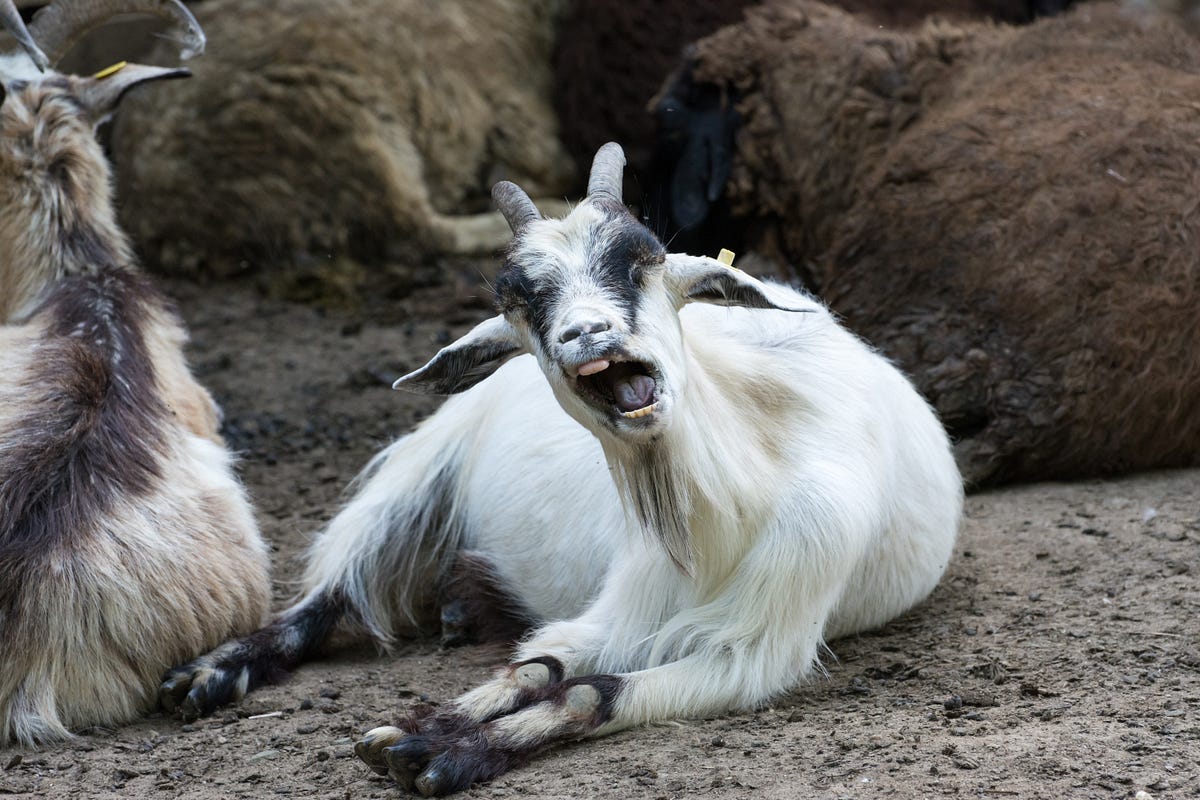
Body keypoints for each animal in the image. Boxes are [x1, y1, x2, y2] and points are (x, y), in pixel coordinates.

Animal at [159, 143, 962, 794]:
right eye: (518, 297)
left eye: (643, 257)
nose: (587, 333)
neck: (730, 505)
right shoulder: (621, 602)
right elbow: (539, 667)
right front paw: (418, 732)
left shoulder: (760, 641)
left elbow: (587, 691)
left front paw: (442, 753)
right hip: (425, 466)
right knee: (332, 593)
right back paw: (206, 674)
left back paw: (459, 606)